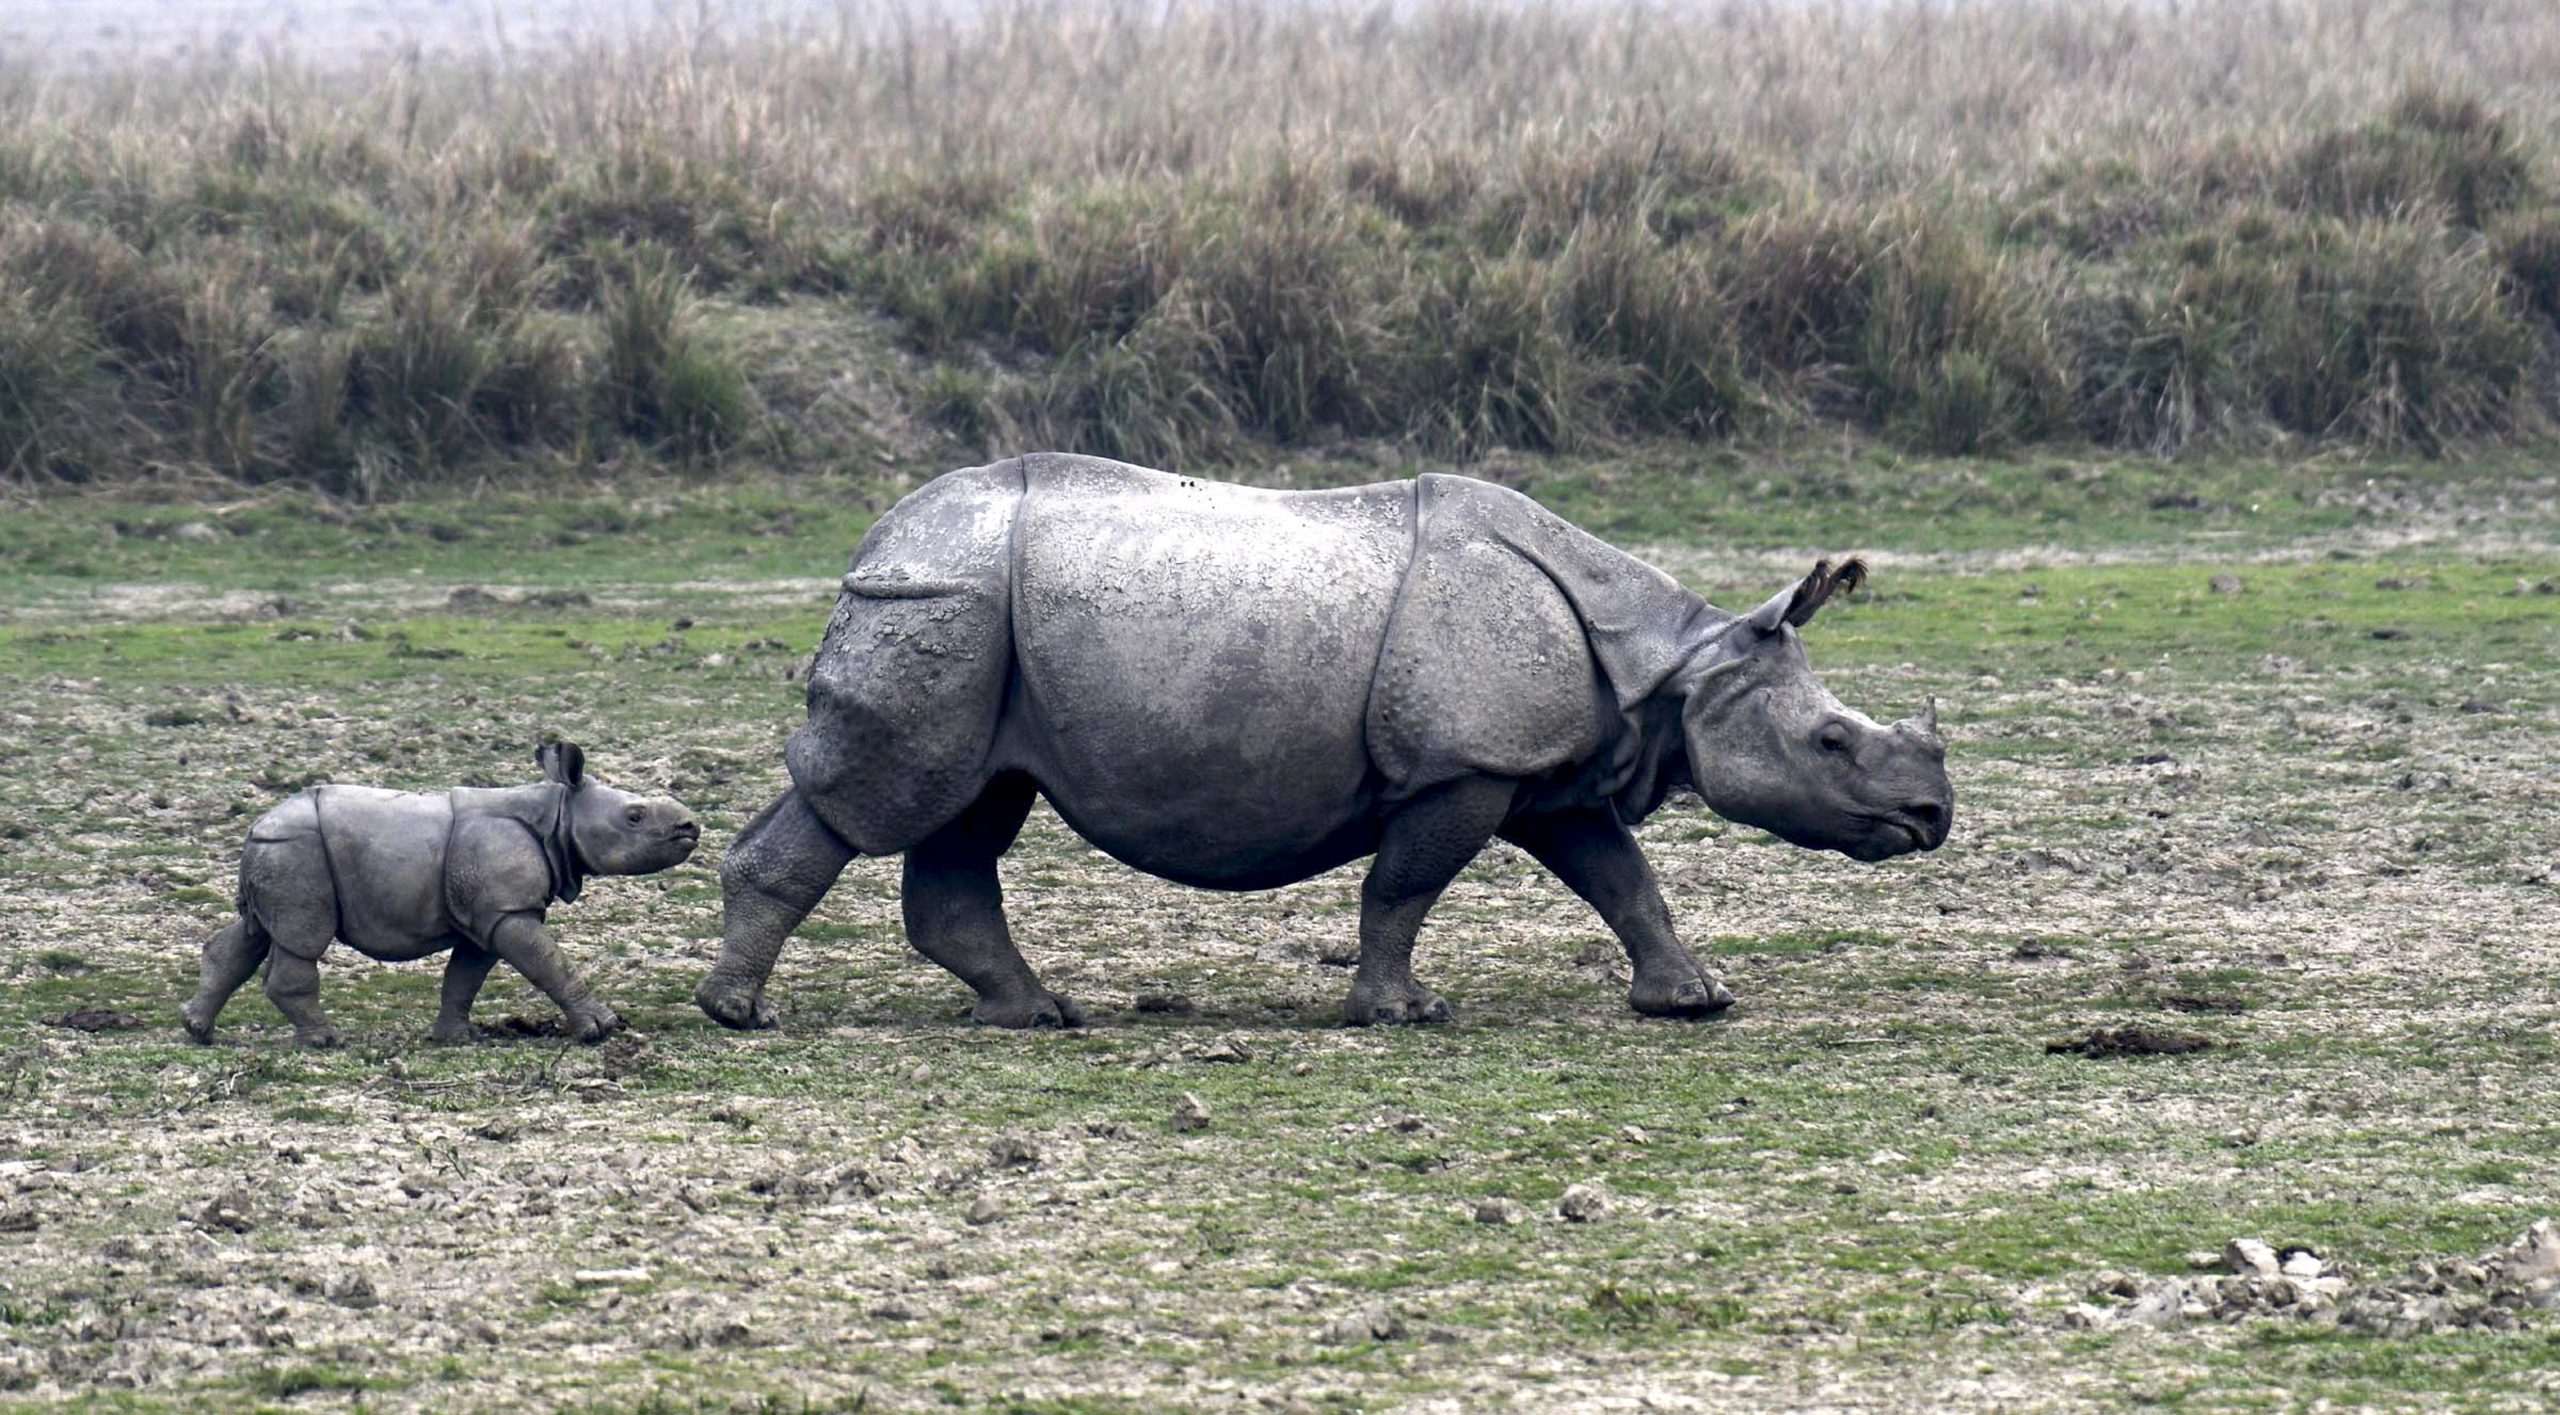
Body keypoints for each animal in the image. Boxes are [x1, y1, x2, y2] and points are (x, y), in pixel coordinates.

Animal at [183, 743, 701, 1047]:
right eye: (634, 816)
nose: (690, 826)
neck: (557, 813)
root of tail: (256, 825)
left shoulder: (487, 914)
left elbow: (464, 977)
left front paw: (455, 1039)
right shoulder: (508, 911)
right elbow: (552, 963)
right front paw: (603, 1028)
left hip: (279, 851)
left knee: (254, 933)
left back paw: (197, 1030)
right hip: (297, 850)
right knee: (301, 939)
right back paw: (325, 1042)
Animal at [697, 454, 1950, 1031]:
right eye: (1831, 740)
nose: (1932, 816)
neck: (1672, 667)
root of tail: (878, 538)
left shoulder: (1547, 772)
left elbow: (1623, 878)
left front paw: (1693, 1000)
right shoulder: (1463, 766)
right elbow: (1403, 887)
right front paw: (1401, 1012)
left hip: (976, 621)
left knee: (973, 807)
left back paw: (1038, 1015)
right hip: (944, 601)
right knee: (881, 800)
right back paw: (742, 1016)